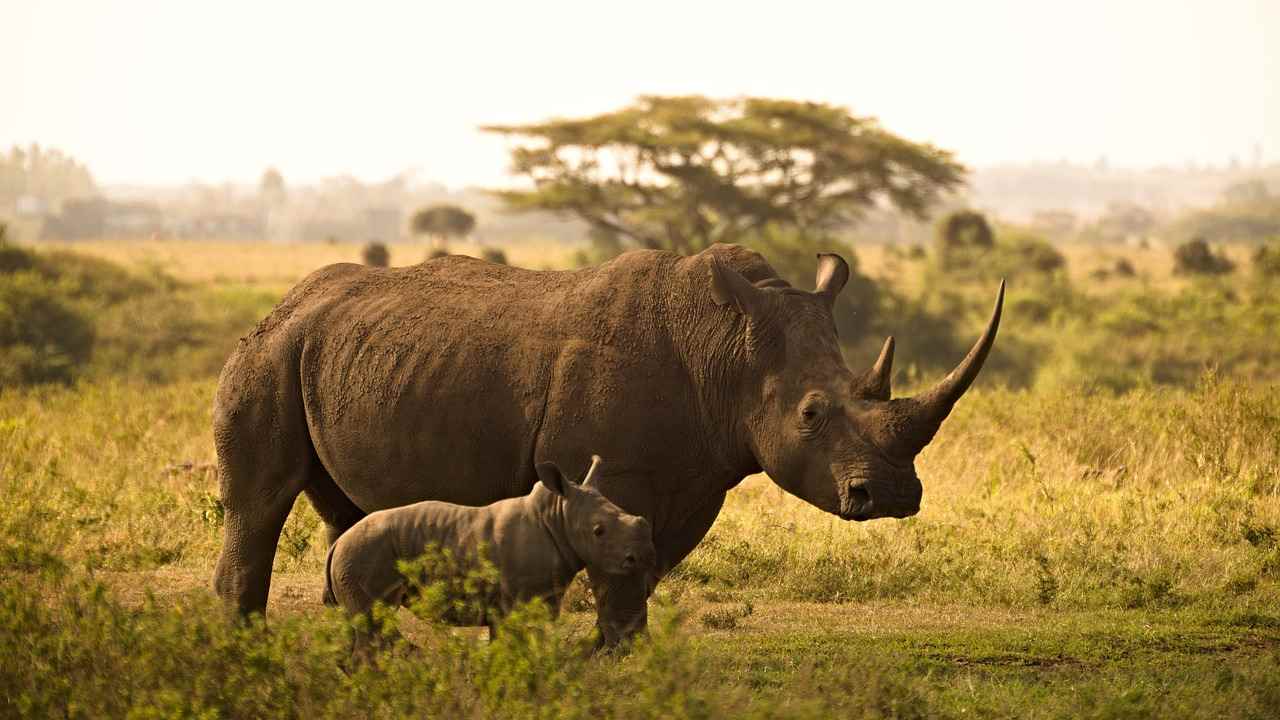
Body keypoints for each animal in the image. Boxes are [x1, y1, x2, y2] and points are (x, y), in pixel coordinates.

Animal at [325, 453, 655, 638]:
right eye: (598, 531)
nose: (642, 556)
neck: (557, 516)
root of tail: (339, 542)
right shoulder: (516, 602)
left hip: (357, 554)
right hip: (363, 554)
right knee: (372, 624)